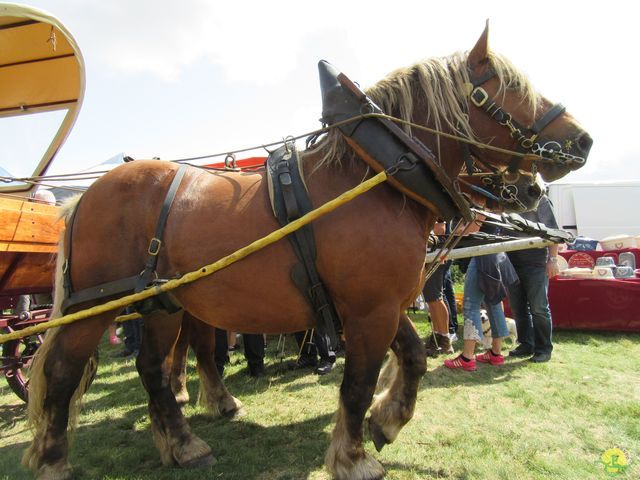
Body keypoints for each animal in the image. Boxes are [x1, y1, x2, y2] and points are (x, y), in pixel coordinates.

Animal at [22, 25, 592, 480]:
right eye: (511, 89)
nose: (583, 140)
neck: (379, 175)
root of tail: (86, 195)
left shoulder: (380, 304)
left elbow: (411, 358)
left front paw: (387, 421)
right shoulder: (368, 310)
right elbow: (358, 383)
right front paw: (354, 457)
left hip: (162, 304)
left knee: (153, 371)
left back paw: (184, 446)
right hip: (95, 306)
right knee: (63, 373)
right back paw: (52, 460)